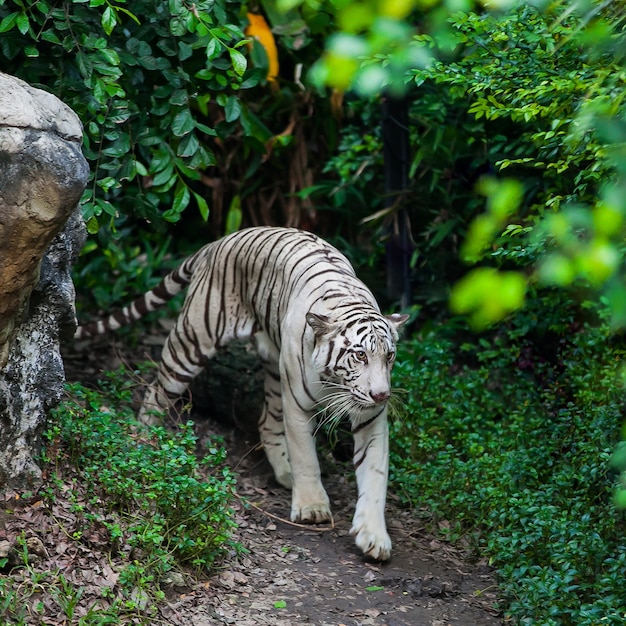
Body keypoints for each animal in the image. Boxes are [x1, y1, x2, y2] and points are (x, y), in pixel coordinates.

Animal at [75, 227, 408, 560]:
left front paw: (374, 536)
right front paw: (312, 506)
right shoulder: (298, 406)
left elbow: (375, 474)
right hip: (192, 342)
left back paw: (284, 473)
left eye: (389, 356)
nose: (381, 395)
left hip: (274, 370)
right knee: (157, 391)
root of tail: (220, 240)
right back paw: (146, 441)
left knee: (266, 421)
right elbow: (306, 458)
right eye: (360, 356)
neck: (336, 382)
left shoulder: (371, 419)